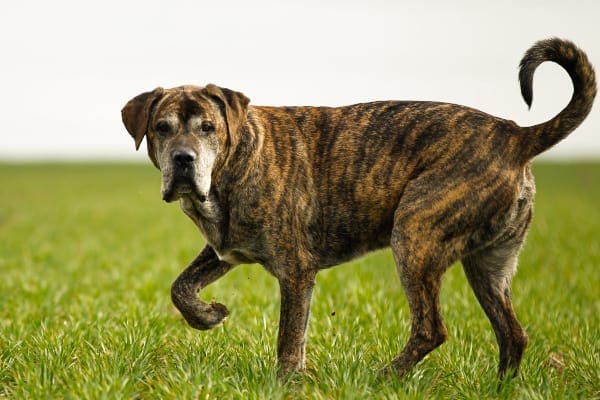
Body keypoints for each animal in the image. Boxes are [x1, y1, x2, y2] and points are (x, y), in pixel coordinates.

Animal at [120, 39, 596, 380]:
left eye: (209, 128)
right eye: (161, 128)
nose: (183, 159)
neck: (231, 166)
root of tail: (516, 134)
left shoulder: (296, 271)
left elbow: (289, 340)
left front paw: (285, 382)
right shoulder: (225, 248)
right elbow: (180, 286)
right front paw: (208, 316)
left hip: (415, 234)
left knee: (431, 328)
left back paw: (381, 378)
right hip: (489, 265)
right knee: (512, 336)